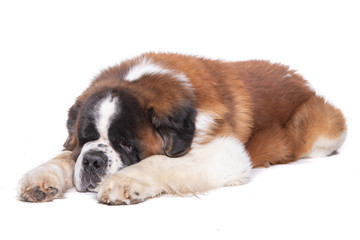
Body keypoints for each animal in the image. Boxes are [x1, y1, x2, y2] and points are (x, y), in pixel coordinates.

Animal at [16, 53, 346, 204]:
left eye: (126, 144)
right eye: (86, 138)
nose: (93, 161)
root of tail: (299, 78)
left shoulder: (226, 152)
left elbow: (160, 162)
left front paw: (125, 182)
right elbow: (63, 157)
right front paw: (41, 177)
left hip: (324, 129)